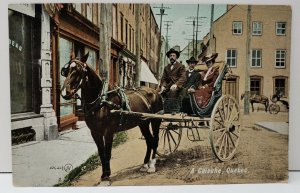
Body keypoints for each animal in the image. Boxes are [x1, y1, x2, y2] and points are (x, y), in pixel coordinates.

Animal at [60, 52, 163, 184]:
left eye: (78, 70)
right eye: (65, 70)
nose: (65, 93)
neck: (101, 101)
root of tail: (156, 92)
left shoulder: (108, 132)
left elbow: (107, 153)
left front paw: (106, 177)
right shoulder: (95, 132)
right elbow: (101, 153)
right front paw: (103, 175)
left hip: (155, 121)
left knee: (155, 140)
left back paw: (152, 165)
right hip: (143, 123)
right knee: (149, 140)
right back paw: (145, 164)